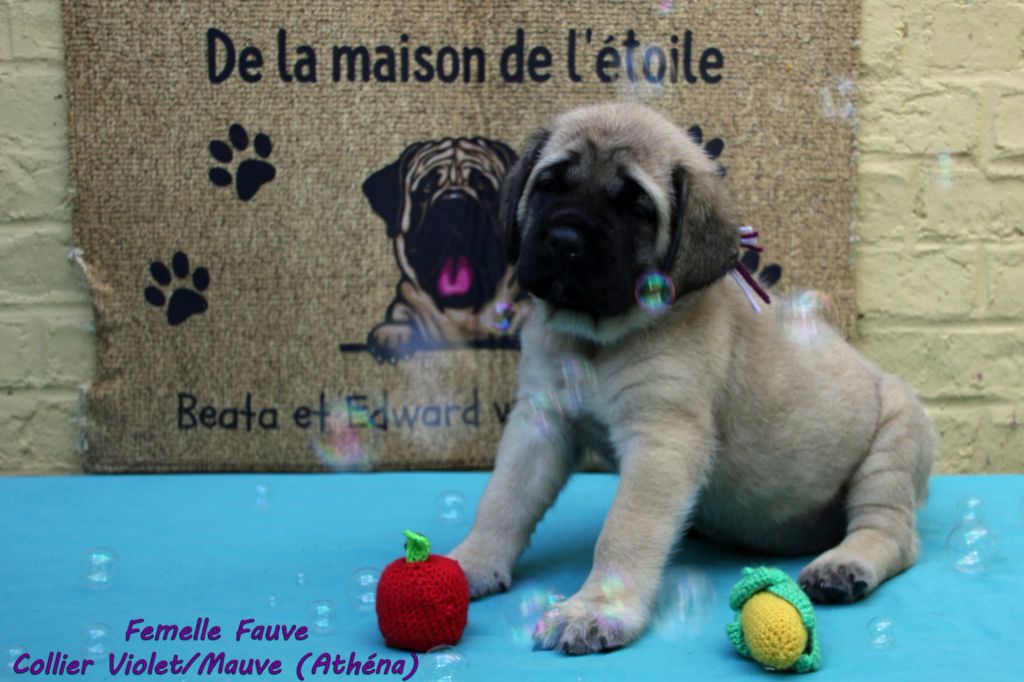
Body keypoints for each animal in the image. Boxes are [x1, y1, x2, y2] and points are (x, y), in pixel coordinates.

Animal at [448, 102, 933, 654]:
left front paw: (597, 609)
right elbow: (502, 500)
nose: (565, 240)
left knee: (891, 531)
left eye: (636, 209)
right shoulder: (539, 423)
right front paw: (470, 562)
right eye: (551, 185)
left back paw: (844, 565)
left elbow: (624, 528)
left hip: (894, 438)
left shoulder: (662, 438)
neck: (594, 339)